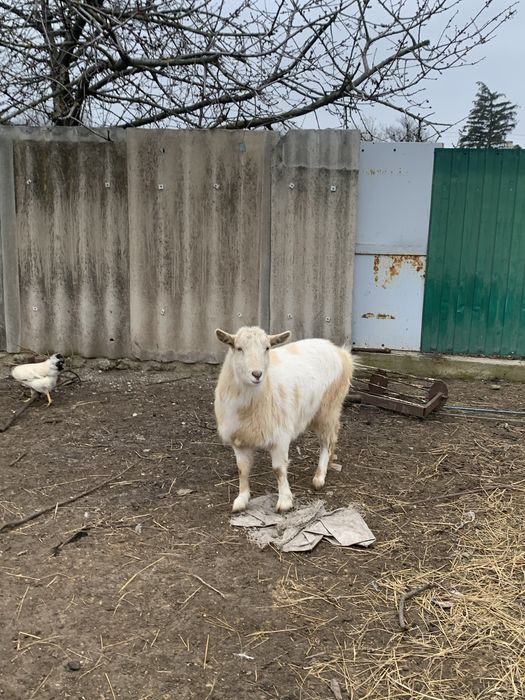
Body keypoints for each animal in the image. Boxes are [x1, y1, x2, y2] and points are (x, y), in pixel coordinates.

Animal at [214, 326, 354, 513]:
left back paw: (319, 477)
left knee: (327, 441)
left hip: (327, 407)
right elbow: (242, 469)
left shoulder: (279, 437)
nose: (257, 374)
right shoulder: (239, 439)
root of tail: (340, 352)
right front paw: (241, 500)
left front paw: (285, 501)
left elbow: (278, 469)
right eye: (238, 348)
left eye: (267, 348)